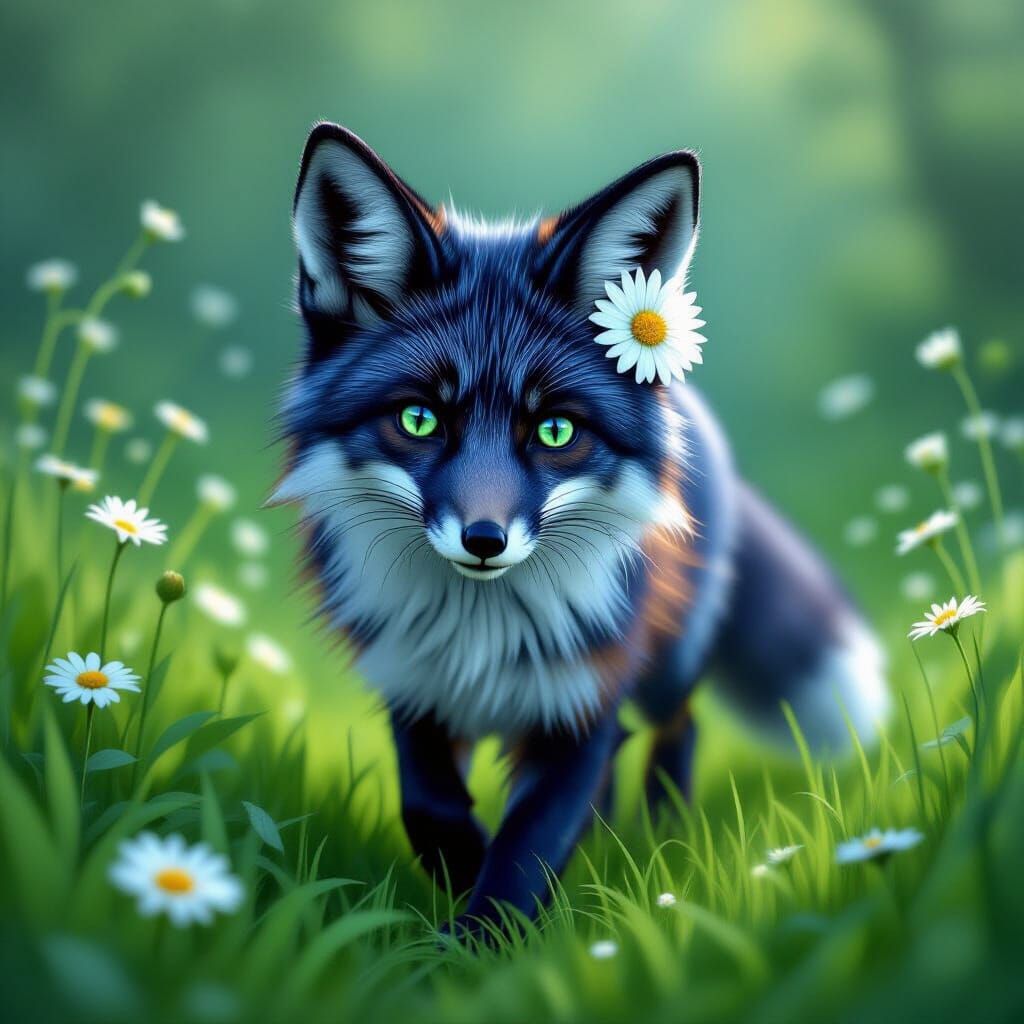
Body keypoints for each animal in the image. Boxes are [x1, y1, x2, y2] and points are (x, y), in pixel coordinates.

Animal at [274, 122, 889, 935]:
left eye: (556, 431)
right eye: (419, 419)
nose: (484, 540)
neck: (480, 637)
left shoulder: (585, 700)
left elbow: (527, 846)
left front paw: (478, 937)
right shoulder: (412, 682)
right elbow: (432, 806)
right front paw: (460, 873)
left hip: (667, 664)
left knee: (676, 728)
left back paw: (662, 841)